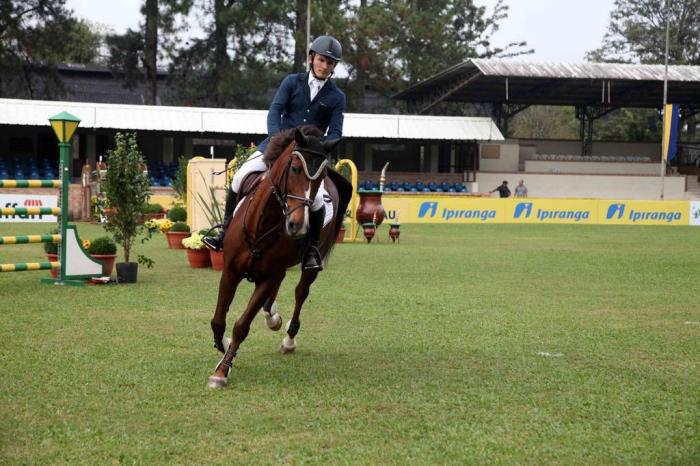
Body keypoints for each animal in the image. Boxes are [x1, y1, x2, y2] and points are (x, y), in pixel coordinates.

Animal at [206, 125, 350, 388]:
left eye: (320, 177)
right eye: (294, 169)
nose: (297, 226)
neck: (262, 224)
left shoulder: (267, 278)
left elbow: (241, 326)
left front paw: (222, 370)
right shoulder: (230, 272)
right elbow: (218, 320)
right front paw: (223, 348)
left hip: (306, 267)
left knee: (300, 292)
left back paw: (288, 339)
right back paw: (271, 315)